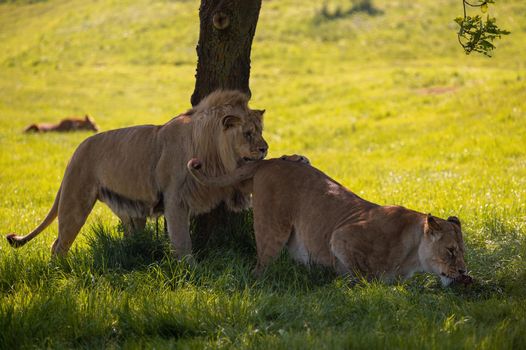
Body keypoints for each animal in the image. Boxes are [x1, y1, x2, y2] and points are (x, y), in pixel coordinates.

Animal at [8, 89, 270, 260]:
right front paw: (191, 270)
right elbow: (182, 241)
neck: (212, 149)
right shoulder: (175, 199)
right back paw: (60, 273)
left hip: (129, 211)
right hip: (75, 201)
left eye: (260, 131)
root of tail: (76, 150)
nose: (265, 148)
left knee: (130, 237)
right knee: (59, 244)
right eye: (248, 133)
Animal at [189, 157, 474, 286]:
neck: (411, 254)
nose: (463, 272)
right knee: (259, 267)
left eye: (462, 252)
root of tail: (270, 160)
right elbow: (360, 273)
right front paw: (354, 283)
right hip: (272, 230)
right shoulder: (342, 234)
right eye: (450, 251)